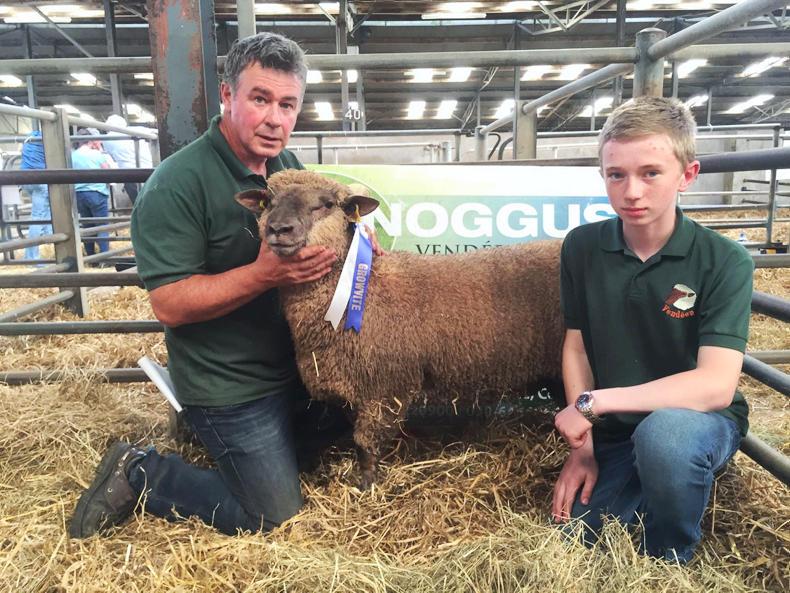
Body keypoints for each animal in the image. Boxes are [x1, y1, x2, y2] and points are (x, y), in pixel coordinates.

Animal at [236, 169, 564, 488]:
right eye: (268, 202)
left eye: (326, 204)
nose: (279, 229)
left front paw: (367, 484)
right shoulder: (355, 387)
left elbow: (365, 442)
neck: (359, 291)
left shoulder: (384, 389)